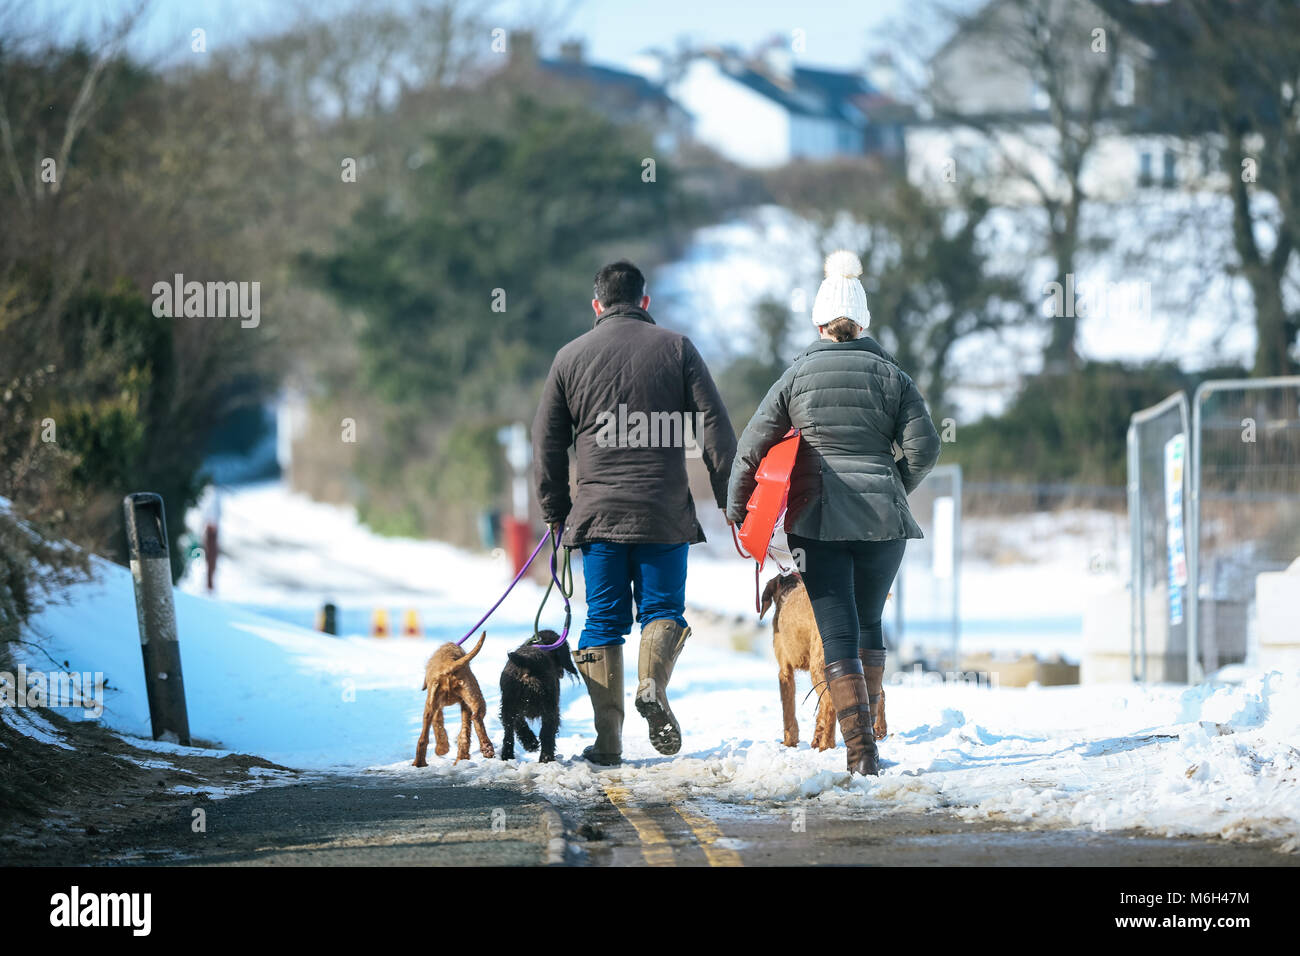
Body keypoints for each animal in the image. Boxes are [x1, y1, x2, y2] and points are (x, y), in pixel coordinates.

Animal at [413, 632, 493, 764]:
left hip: (431, 706)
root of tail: (449, 665)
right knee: (475, 718)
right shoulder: (463, 704)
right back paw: (485, 749)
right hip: (473, 695)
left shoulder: (438, 707)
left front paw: (442, 749)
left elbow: (438, 725)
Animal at [499, 634, 577, 764]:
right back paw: (546, 758)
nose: (561, 673)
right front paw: (532, 744)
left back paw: (507, 756)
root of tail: (529, 664)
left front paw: (530, 743)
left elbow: (519, 724)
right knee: (547, 734)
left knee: (508, 734)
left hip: (508, 707)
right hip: (550, 709)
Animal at [764, 572, 889, 749]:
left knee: (831, 703)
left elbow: (788, 711)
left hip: (817, 667)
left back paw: (827, 745)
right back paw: (878, 729)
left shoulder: (785, 671)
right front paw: (816, 737)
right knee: (878, 693)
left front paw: (790, 742)